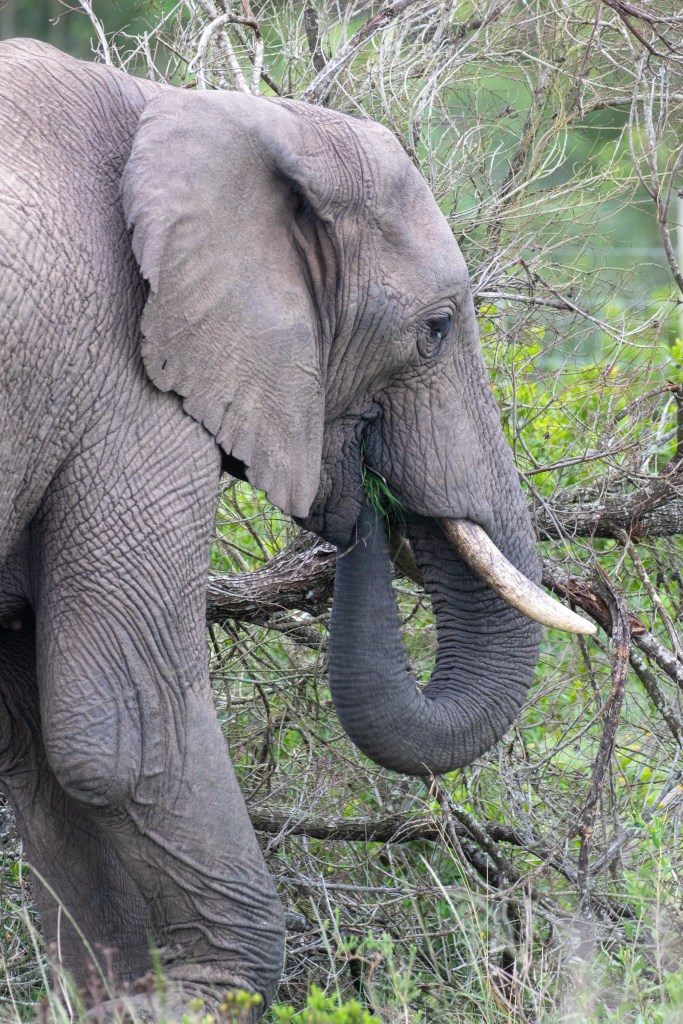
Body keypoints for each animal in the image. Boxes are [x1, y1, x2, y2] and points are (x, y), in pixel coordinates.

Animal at [0, 37, 593, 1021]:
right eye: (435, 331)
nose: (360, 504)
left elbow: (39, 741)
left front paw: (121, 999)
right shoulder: (127, 381)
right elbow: (115, 720)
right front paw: (198, 996)